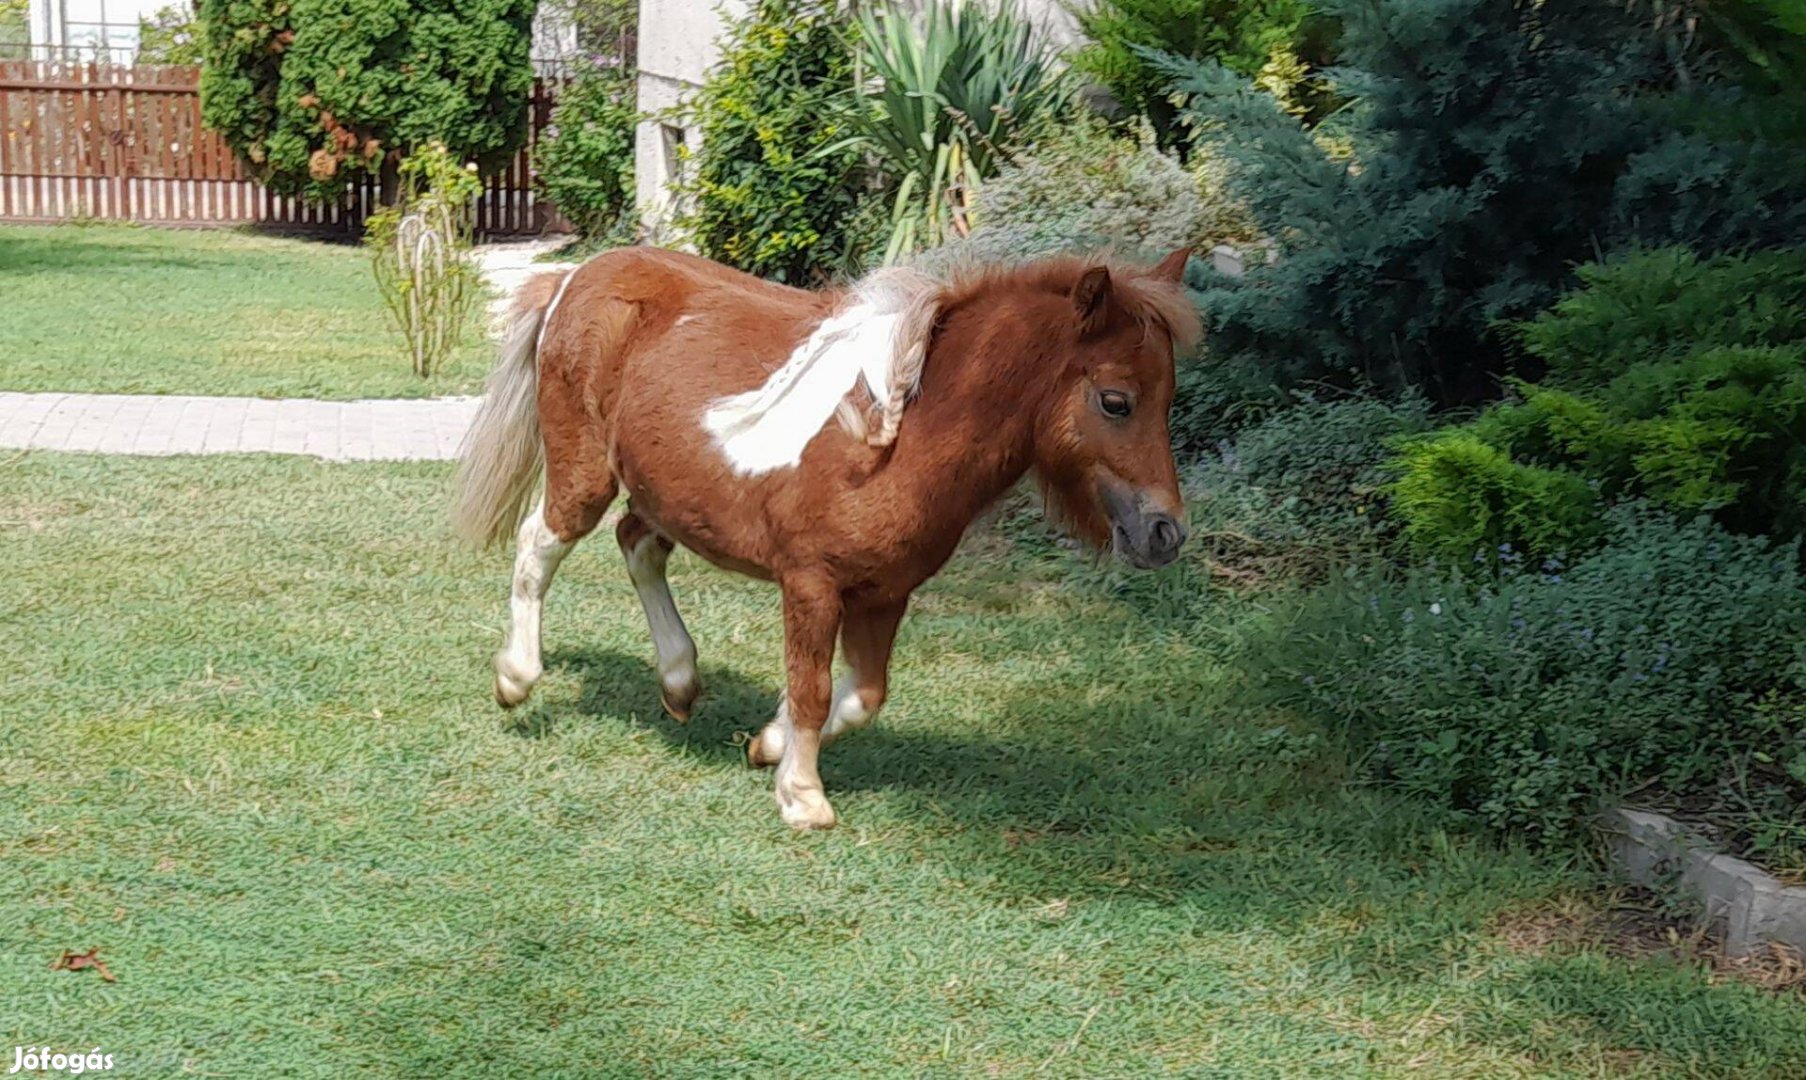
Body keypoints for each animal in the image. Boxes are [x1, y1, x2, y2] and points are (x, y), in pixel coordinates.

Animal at [455, 249, 1199, 834]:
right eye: (1115, 401)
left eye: (1166, 399)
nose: (1165, 533)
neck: (899, 435)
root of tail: (576, 275)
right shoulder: (810, 584)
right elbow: (812, 687)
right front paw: (802, 795)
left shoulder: (886, 594)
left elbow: (864, 694)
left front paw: (768, 744)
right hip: (582, 472)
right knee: (539, 545)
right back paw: (516, 677)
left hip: (660, 494)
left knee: (637, 543)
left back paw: (679, 680)